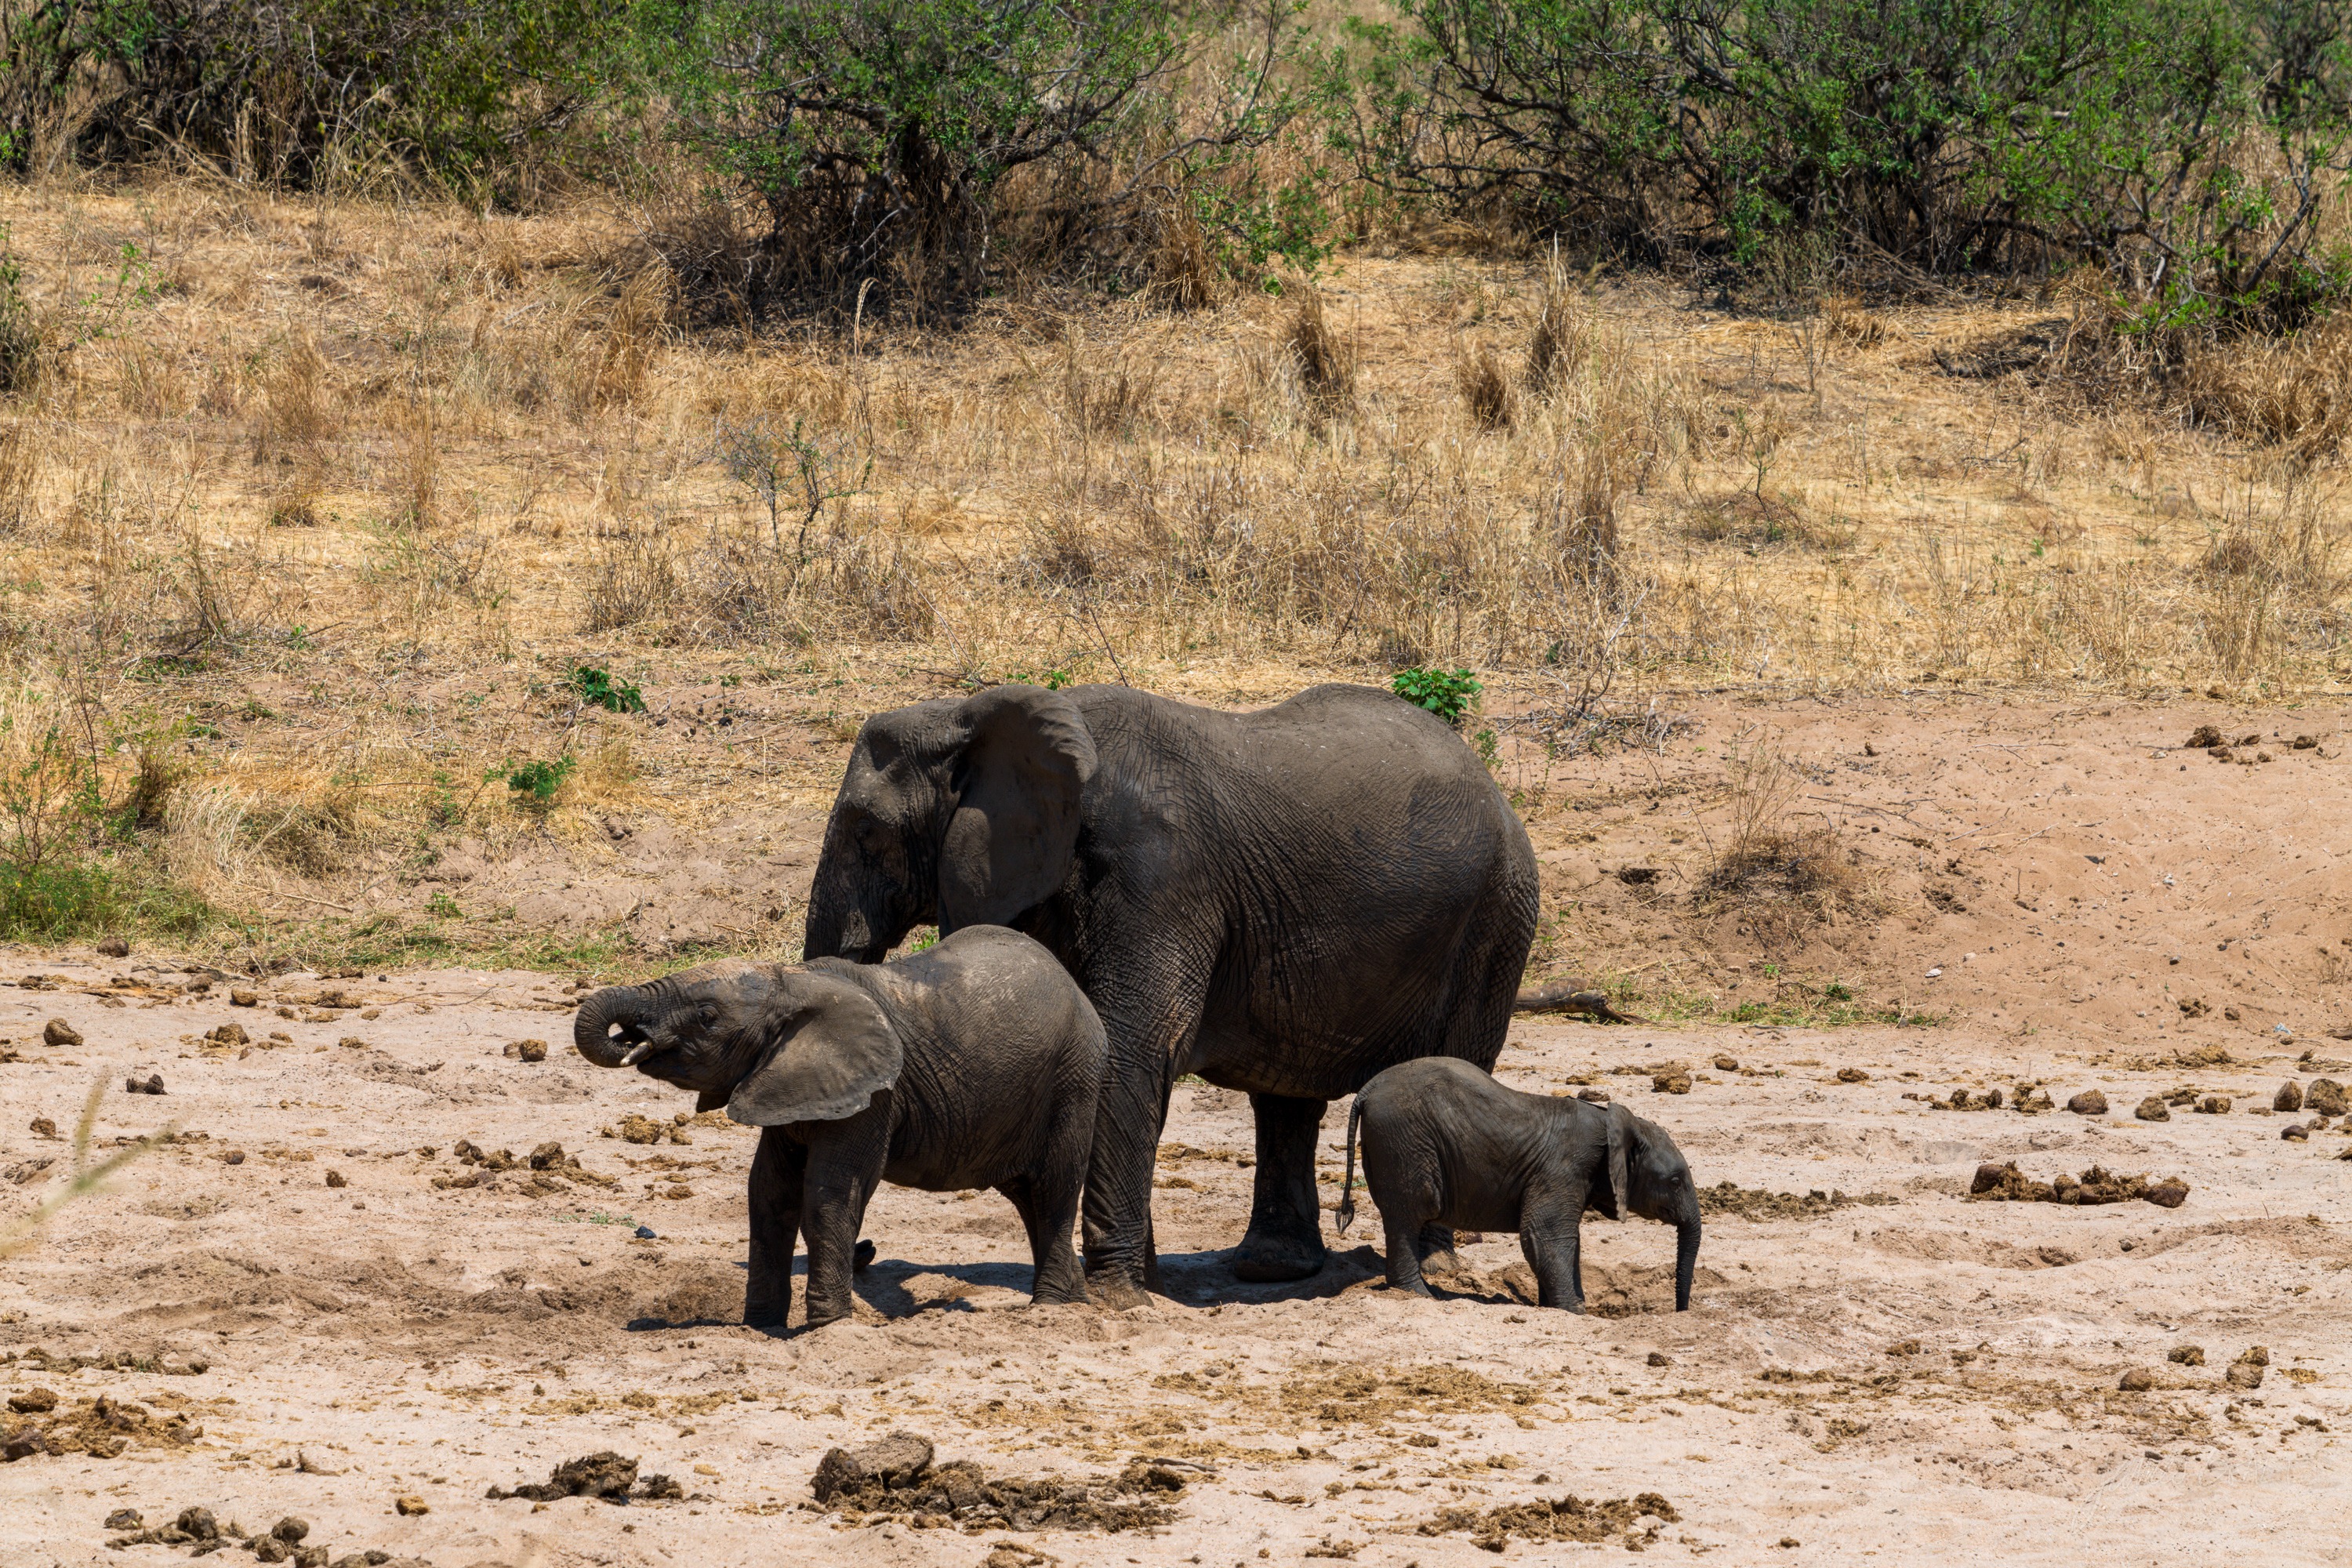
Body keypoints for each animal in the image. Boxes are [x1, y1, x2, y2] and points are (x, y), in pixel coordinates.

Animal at [572, 925, 1104, 1330]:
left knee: (1054, 1190)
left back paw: (1049, 1311)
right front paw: (759, 1327)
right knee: (1029, 1198)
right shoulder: (788, 1081)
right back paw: (1078, 1305)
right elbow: (769, 1192)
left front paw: (828, 1327)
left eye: (707, 1016)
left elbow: (828, 1194)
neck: (792, 982)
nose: (632, 1039)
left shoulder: (874, 1094)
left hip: (1075, 1078)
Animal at [801, 681, 1539, 1305]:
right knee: (1285, 1094)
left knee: (1449, 1061)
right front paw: (1142, 1287)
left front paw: (1114, 1297)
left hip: (1497, 919)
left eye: (867, 832)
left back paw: (1436, 1267)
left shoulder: (1159, 874)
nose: (869, 1253)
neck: (974, 713)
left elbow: (1129, 1046)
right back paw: (1273, 1267)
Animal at [1335, 1057, 1701, 1311]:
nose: (1679, 1312)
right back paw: (1420, 1295)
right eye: (1674, 1181)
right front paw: (1573, 1311)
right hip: (1403, 1141)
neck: (1614, 1122)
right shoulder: (1562, 1169)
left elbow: (1565, 1240)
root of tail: (1367, 1090)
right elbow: (1546, 1234)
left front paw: (1560, 1306)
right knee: (1410, 1213)